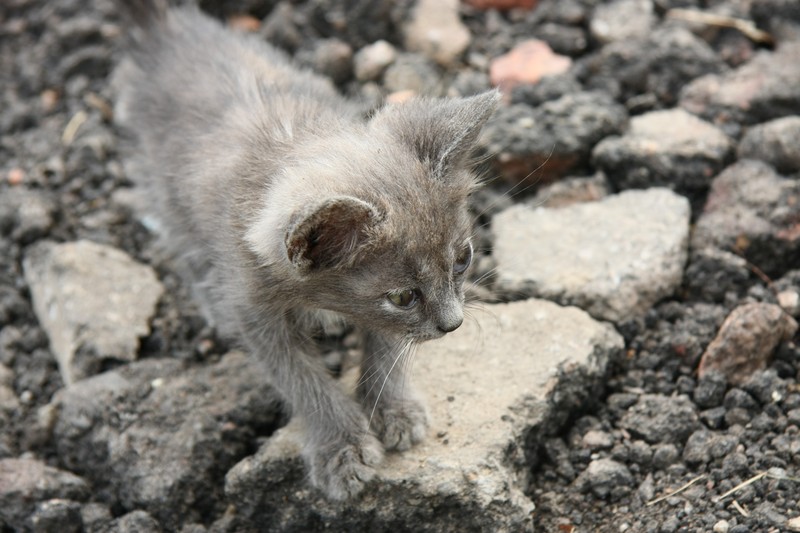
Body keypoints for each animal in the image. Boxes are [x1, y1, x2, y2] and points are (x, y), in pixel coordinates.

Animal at [114, 1, 500, 498]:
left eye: (464, 259)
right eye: (402, 296)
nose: (453, 324)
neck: (285, 144)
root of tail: (163, 31)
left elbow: (387, 343)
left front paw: (392, 407)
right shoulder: (254, 307)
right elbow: (300, 380)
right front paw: (342, 447)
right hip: (163, 185)